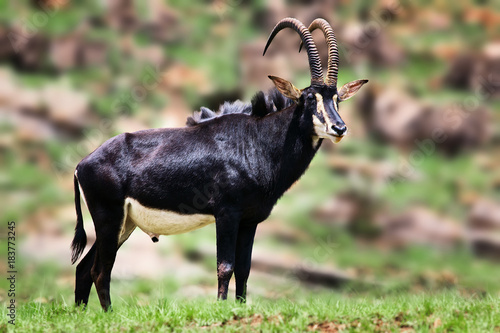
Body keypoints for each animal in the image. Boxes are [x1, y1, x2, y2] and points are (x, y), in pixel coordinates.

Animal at [70, 17, 368, 308]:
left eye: (337, 99)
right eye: (308, 98)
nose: (339, 128)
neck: (257, 141)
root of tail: (82, 164)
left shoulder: (250, 220)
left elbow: (244, 269)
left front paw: (239, 308)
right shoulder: (227, 214)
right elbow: (225, 266)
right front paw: (222, 309)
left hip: (124, 224)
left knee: (84, 268)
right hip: (109, 219)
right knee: (100, 270)